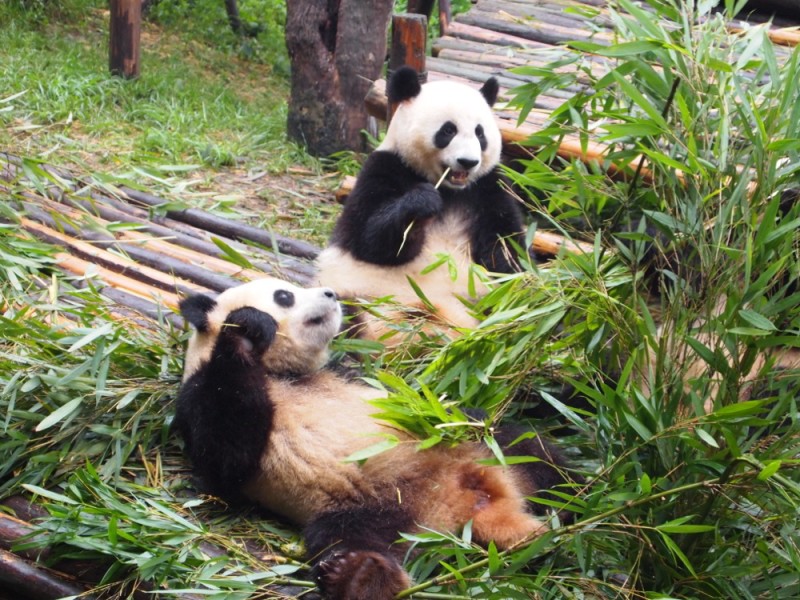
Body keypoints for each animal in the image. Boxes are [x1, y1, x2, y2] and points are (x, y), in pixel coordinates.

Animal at [172, 278, 580, 600]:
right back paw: (360, 575)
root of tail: (472, 507)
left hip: (486, 451)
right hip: (380, 510)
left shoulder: (352, 373)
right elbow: (227, 458)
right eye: (284, 295)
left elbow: (422, 391)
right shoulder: (197, 396)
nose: (331, 293)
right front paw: (249, 327)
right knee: (349, 537)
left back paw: (579, 501)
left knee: (533, 451)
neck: (283, 372)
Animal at [316, 65, 528, 342]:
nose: (468, 162)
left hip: (480, 302)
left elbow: (504, 246)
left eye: (480, 133)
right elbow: (369, 240)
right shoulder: (385, 168)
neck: (450, 190)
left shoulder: (487, 187)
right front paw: (423, 203)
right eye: (448, 130)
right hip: (354, 295)